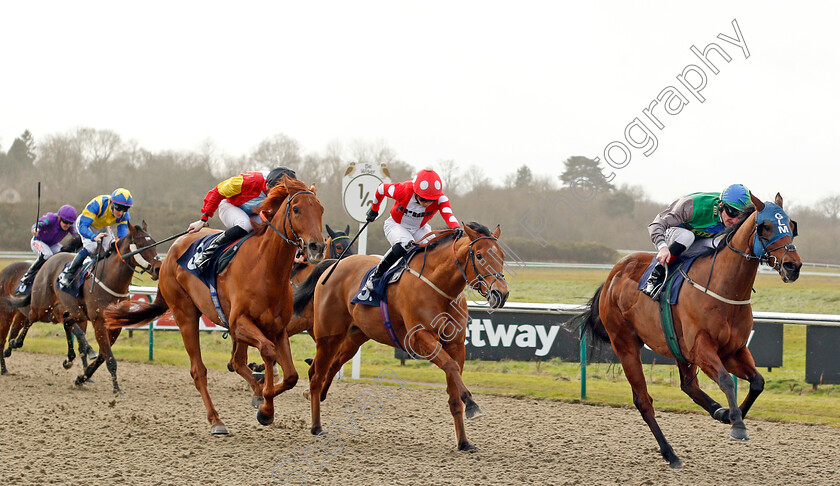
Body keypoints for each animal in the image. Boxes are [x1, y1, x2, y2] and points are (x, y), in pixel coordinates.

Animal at [1, 222, 161, 392]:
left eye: (154, 243)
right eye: (141, 245)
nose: (158, 268)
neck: (110, 279)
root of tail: (50, 261)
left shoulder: (114, 324)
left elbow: (102, 354)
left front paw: (82, 378)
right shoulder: (98, 321)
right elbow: (105, 355)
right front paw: (116, 388)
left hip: (72, 313)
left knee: (64, 323)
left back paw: (67, 359)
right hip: (39, 306)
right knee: (27, 321)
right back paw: (13, 346)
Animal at [104, 177, 324, 434]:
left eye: (320, 209)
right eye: (296, 209)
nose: (317, 247)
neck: (265, 268)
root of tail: (169, 254)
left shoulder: (277, 329)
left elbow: (290, 375)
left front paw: (263, 402)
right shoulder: (239, 323)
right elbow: (268, 351)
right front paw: (266, 407)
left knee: (237, 362)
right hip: (185, 314)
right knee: (199, 370)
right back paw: (216, 420)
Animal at [294, 222, 506, 450]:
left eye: (502, 256)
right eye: (479, 256)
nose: (501, 294)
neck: (439, 288)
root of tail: (335, 264)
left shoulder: (456, 345)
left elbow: (454, 389)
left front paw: (464, 441)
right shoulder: (420, 339)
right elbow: (451, 366)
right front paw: (473, 405)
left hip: (353, 337)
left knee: (329, 367)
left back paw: (315, 397)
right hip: (328, 335)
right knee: (317, 375)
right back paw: (316, 426)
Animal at [576, 193, 800, 468]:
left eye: (790, 225)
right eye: (765, 227)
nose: (793, 266)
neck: (724, 289)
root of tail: (612, 276)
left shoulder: (733, 350)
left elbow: (757, 382)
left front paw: (733, 415)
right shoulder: (702, 348)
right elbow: (726, 380)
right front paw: (737, 425)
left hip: (677, 347)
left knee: (688, 386)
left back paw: (718, 411)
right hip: (626, 345)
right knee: (643, 400)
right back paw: (670, 453)